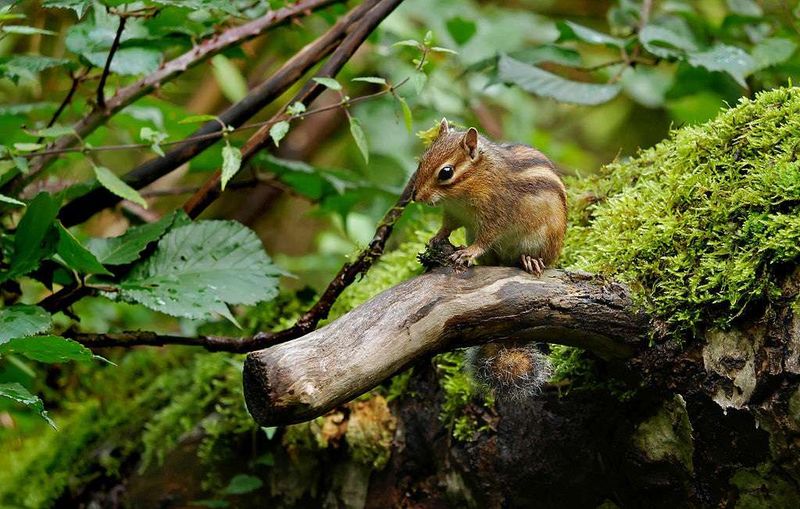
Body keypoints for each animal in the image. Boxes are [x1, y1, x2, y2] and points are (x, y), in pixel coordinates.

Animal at [413, 118, 567, 399]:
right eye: (422, 161)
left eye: (446, 172)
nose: (415, 196)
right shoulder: (453, 214)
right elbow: (446, 228)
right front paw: (435, 238)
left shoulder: (495, 216)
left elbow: (486, 239)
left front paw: (468, 252)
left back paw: (531, 261)